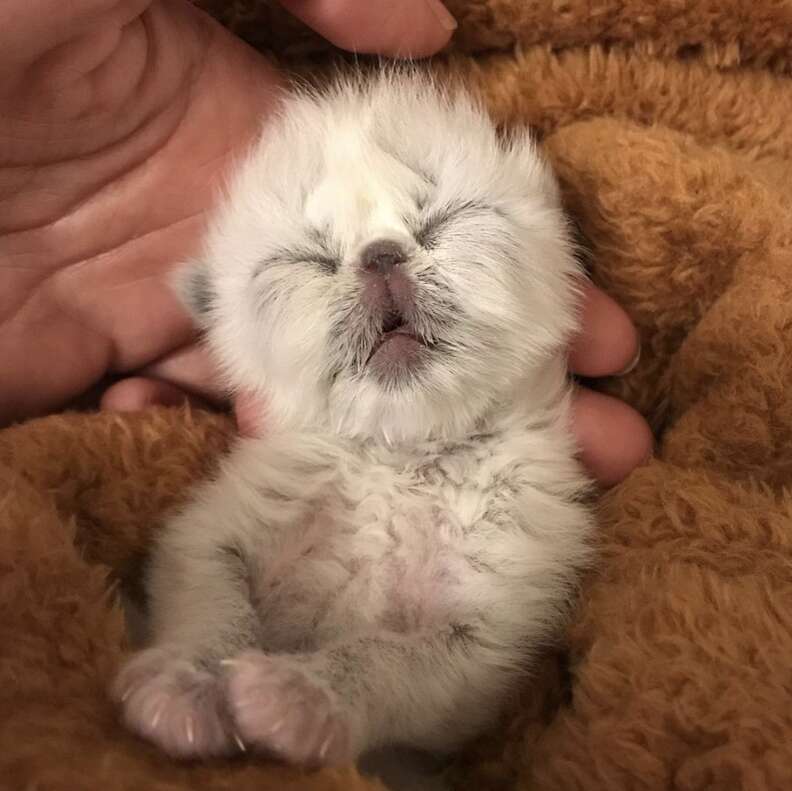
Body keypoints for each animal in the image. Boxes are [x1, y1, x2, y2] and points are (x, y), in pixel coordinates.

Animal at [113, 69, 592, 772]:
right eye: (307, 259)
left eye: (443, 220)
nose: (382, 257)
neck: (404, 452)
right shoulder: (210, 535)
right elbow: (209, 605)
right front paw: (185, 685)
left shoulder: (485, 639)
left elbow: (390, 661)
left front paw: (300, 696)